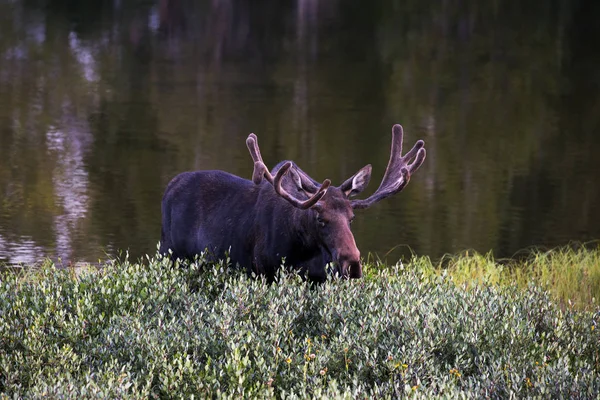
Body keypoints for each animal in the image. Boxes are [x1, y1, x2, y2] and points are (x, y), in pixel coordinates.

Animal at [157, 125, 424, 282]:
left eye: (352, 218)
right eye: (320, 219)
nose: (352, 264)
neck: (303, 251)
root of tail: (169, 187)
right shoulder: (263, 271)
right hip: (169, 256)